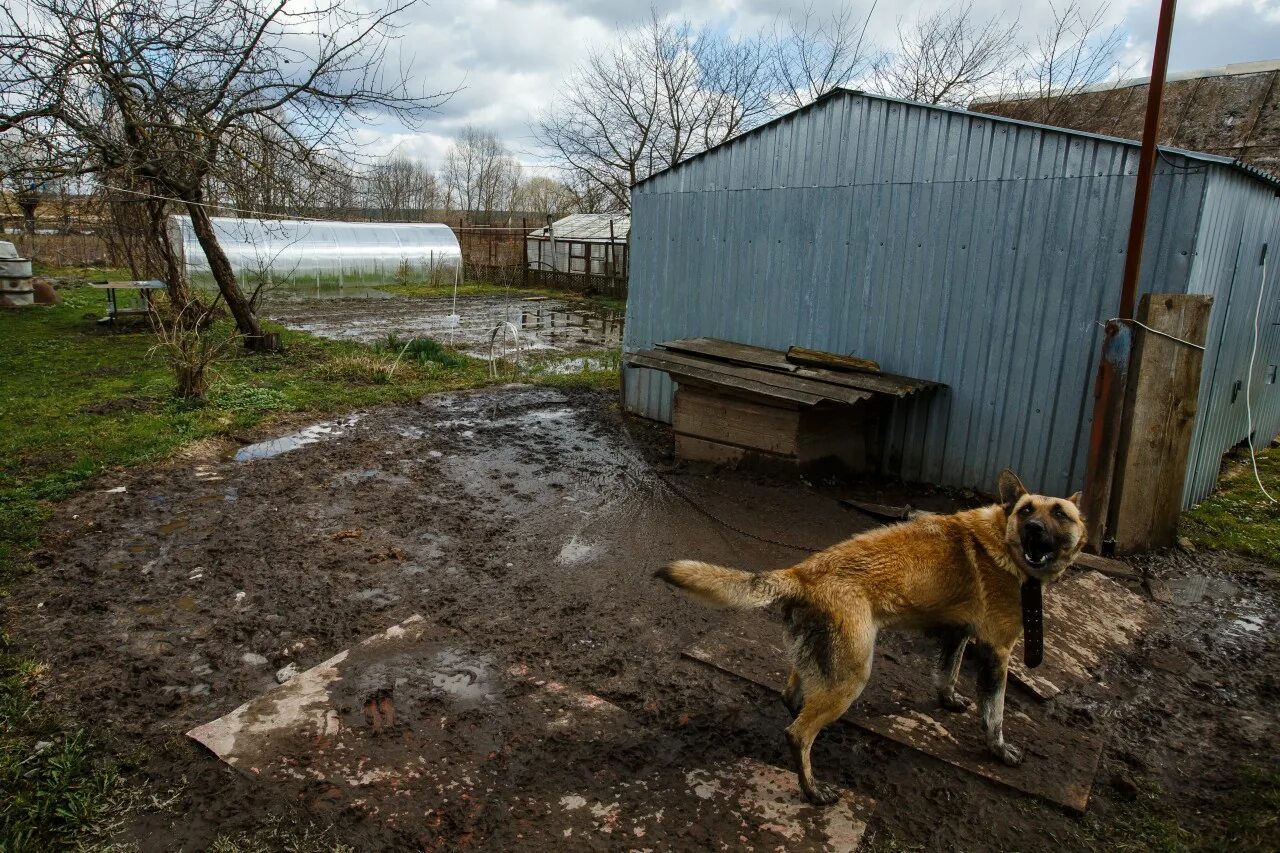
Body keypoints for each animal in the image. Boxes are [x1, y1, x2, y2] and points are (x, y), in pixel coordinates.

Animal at [660, 468, 1090, 799]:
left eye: (1060, 513)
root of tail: (802, 573)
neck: (1002, 539)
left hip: (824, 665)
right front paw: (999, 750)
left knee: (793, 696)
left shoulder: (957, 634)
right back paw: (812, 789)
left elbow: (947, 674)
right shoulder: (997, 652)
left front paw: (948, 700)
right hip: (853, 675)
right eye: (1026, 510)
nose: (1033, 529)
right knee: (797, 734)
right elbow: (995, 713)